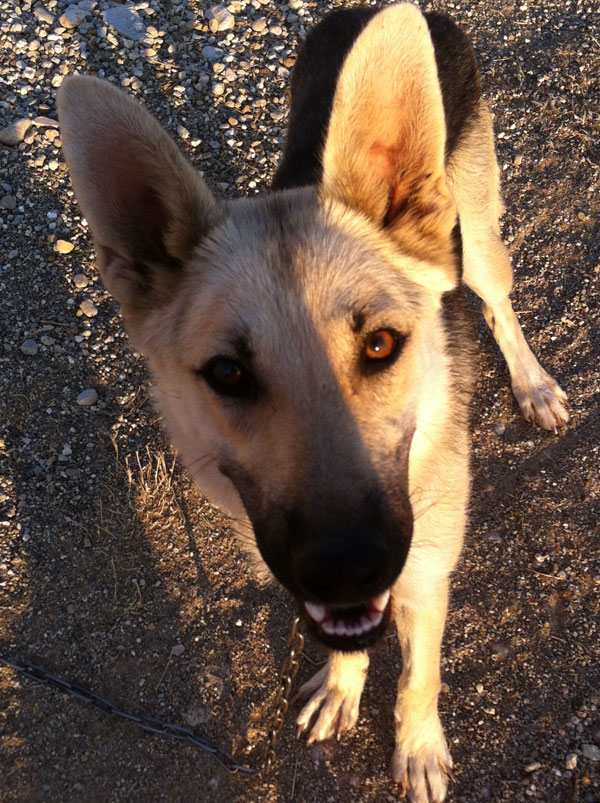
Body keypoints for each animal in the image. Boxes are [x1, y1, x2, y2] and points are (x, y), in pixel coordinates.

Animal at [58, 3, 568, 800]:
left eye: (382, 345)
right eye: (228, 373)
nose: (347, 566)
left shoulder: (426, 575)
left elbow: (418, 678)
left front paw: (418, 747)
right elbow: (348, 644)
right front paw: (343, 683)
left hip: (480, 238)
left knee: (498, 304)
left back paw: (533, 384)